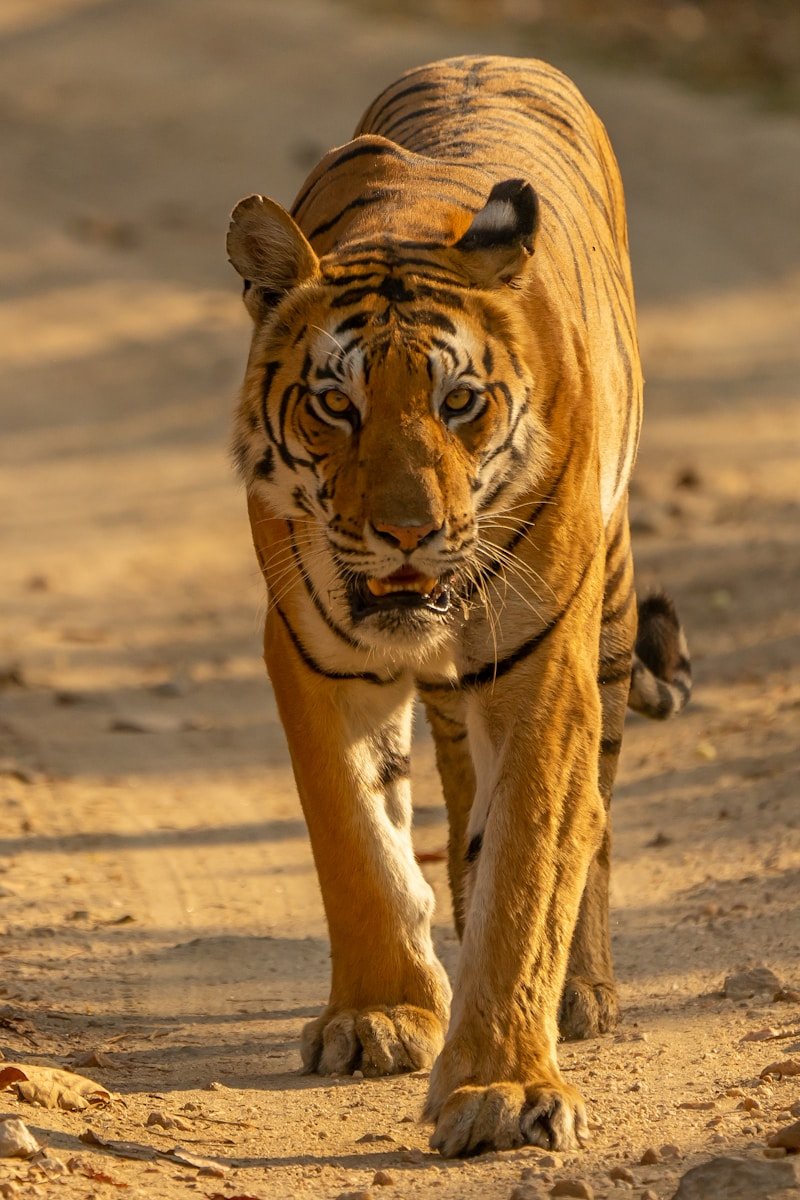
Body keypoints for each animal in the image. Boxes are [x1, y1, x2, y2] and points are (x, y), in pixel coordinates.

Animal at [226, 54, 691, 1157]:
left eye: (458, 402)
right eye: (336, 403)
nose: (406, 532)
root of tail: (493, 56)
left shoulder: (545, 672)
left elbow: (531, 860)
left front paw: (503, 1087)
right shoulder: (313, 655)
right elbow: (354, 834)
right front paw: (379, 1014)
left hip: (609, 617)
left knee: (593, 810)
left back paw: (583, 992)